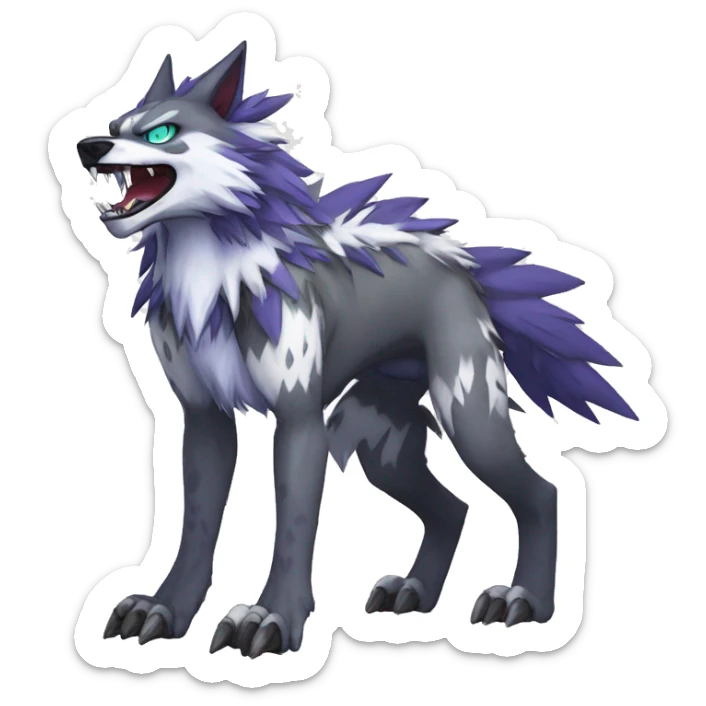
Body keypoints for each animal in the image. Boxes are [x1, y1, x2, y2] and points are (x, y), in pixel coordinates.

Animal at [76, 42, 636, 658]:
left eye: (162, 133)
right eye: (115, 126)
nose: (87, 146)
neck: (214, 281)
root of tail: (466, 270)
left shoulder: (299, 421)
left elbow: (294, 526)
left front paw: (272, 618)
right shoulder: (204, 419)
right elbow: (195, 526)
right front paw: (165, 609)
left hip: (466, 419)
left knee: (543, 493)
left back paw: (524, 599)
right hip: (378, 439)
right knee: (454, 508)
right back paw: (415, 590)